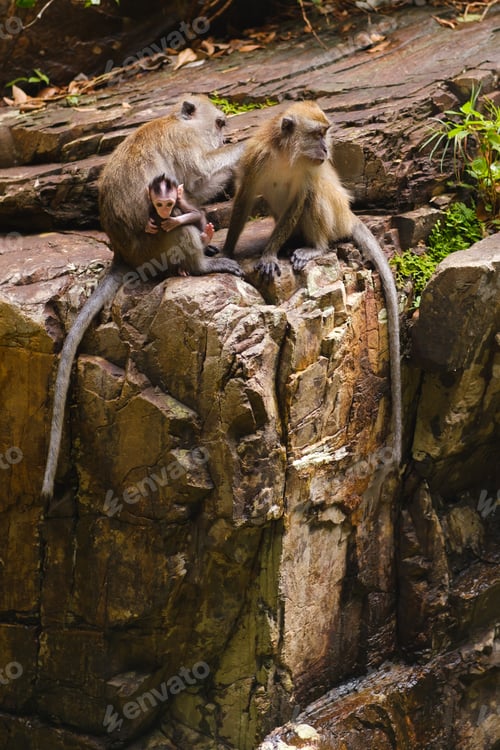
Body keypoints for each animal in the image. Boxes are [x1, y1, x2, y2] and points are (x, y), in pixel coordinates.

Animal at [41, 95, 244, 500]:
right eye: (219, 124)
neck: (177, 121)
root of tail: (122, 253)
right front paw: (245, 148)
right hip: (156, 244)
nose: (224, 133)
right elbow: (199, 174)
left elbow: (196, 187)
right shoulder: (185, 143)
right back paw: (201, 265)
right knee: (174, 222)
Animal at [222, 100, 402, 467]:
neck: (285, 155)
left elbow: (300, 198)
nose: (326, 149)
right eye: (318, 134)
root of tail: (350, 217)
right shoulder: (256, 160)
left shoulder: (308, 171)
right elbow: (244, 200)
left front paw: (269, 253)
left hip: (335, 217)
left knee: (315, 195)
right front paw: (227, 251)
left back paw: (313, 247)